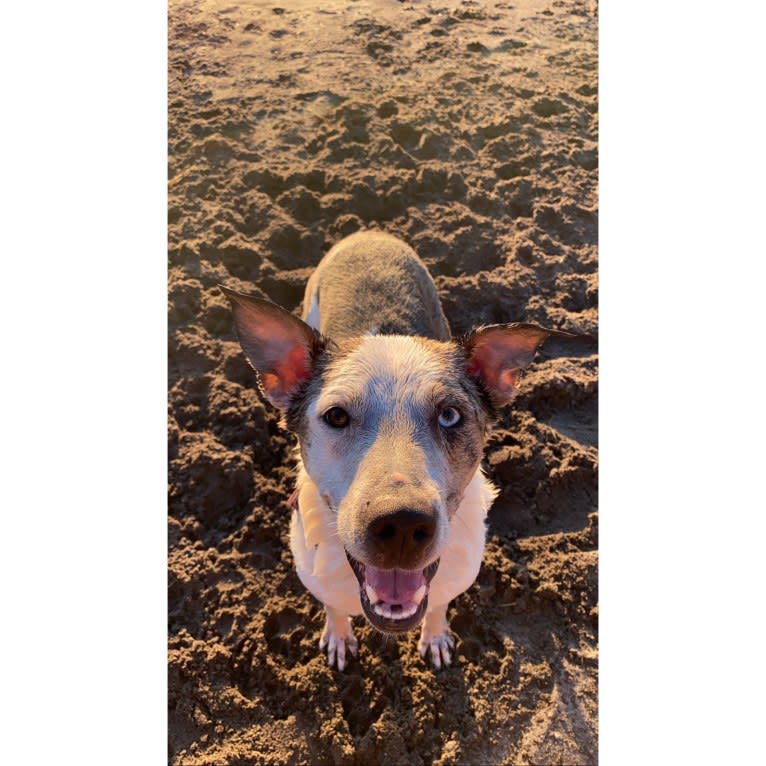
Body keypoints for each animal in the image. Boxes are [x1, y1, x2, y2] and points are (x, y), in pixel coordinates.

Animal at [225, 232, 572, 672]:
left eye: (450, 415)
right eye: (336, 416)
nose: (403, 525)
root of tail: (368, 233)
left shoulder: (451, 577)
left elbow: (438, 604)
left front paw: (435, 637)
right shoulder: (318, 577)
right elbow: (334, 608)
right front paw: (338, 637)